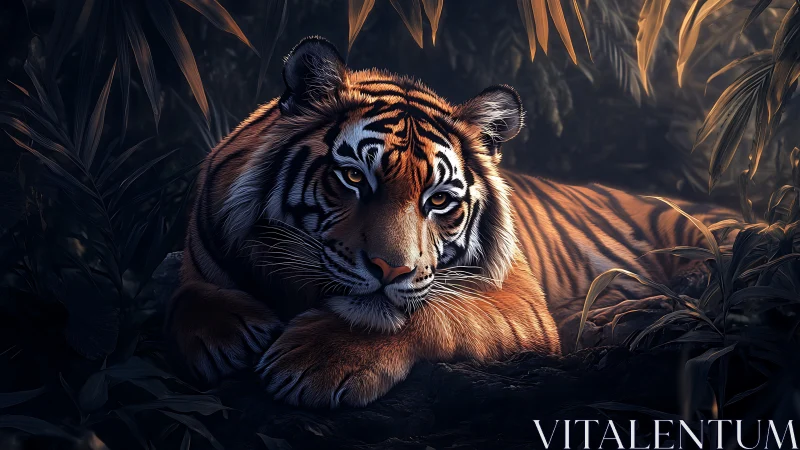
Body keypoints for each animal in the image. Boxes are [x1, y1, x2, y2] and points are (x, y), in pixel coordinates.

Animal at [165, 36, 730, 408]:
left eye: (439, 200)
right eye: (353, 177)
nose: (390, 270)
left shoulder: (518, 300)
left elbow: (431, 313)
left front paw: (319, 361)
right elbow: (190, 292)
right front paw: (223, 335)